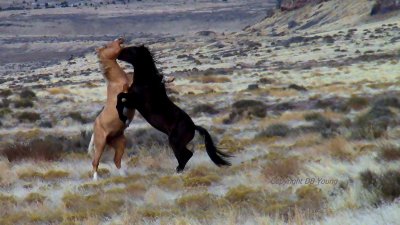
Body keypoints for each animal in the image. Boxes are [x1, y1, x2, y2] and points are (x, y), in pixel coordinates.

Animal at [88, 37, 135, 180]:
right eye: (106, 46)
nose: (120, 39)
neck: (117, 80)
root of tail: (94, 129)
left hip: (120, 143)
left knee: (116, 161)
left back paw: (124, 175)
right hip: (100, 144)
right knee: (95, 162)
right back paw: (96, 179)